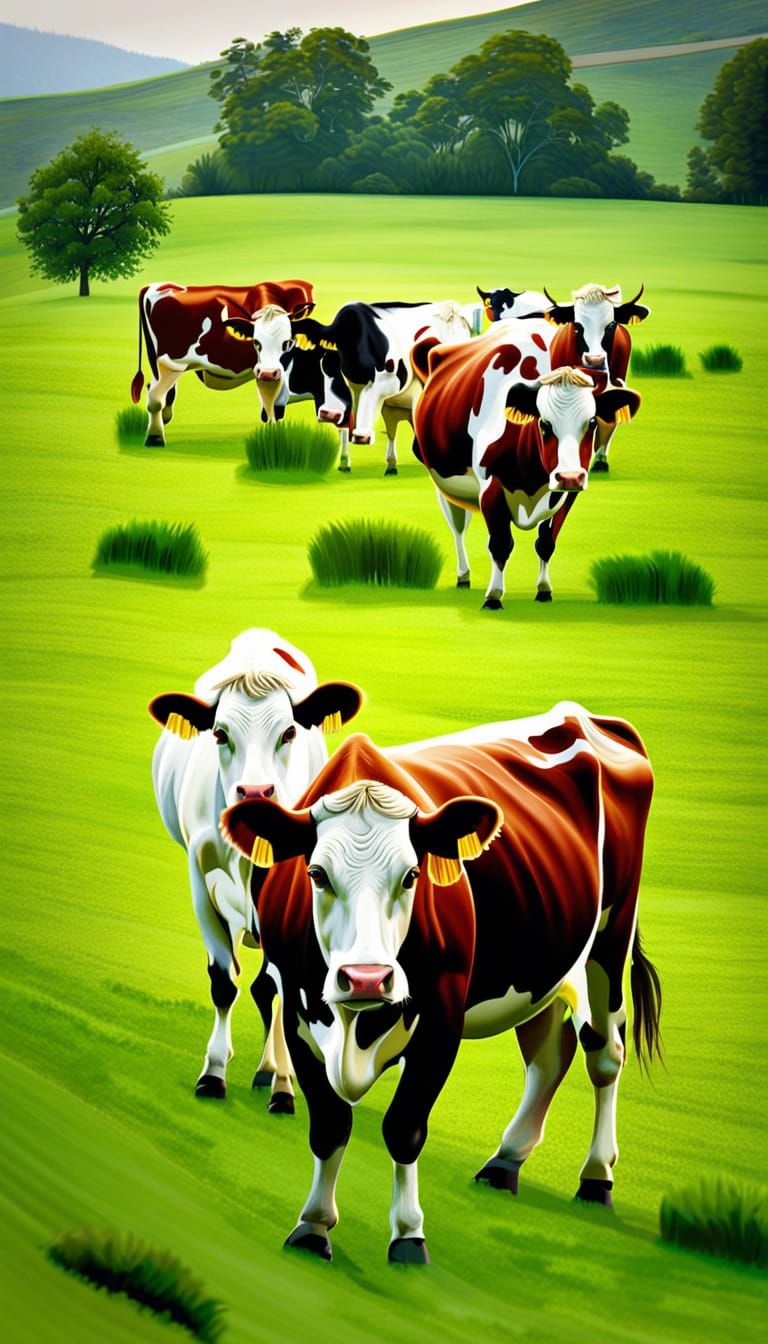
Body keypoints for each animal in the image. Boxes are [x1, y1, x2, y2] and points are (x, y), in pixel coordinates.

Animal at [130, 280, 315, 446]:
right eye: (256, 342)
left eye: (287, 342)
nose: (269, 372)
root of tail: (156, 286)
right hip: (170, 362)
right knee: (155, 397)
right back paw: (155, 437)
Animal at [149, 629, 363, 1106]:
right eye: (219, 734)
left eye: (288, 732)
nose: (255, 792)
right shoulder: (199, 881)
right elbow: (222, 981)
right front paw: (213, 1072)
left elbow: (278, 989)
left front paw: (282, 1082)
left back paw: (270, 1070)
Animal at [221, 707, 660, 1264]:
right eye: (316, 873)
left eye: (412, 875)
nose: (367, 977)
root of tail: (586, 716)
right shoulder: (300, 1017)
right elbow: (329, 1127)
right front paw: (313, 1226)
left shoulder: (440, 1021)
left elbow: (404, 1126)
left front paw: (408, 1234)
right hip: (544, 958)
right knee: (548, 1056)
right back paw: (505, 1162)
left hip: (609, 938)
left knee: (604, 1053)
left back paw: (596, 1177)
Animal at [292, 301, 481, 475]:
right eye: (339, 347)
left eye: (390, 365)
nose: (361, 437)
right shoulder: (382, 401)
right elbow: (389, 431)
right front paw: (388, 464)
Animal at [411, 322, 641, 608]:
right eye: (543, 423)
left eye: (591, 422)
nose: (570, 476)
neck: (531, 478)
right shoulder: (491, 488)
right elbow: (500, 544)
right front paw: (493, 596)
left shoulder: (566, 495)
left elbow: (546, 542)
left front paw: (544, 589)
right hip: (445, 483)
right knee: (458, 527)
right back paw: (463, 576)